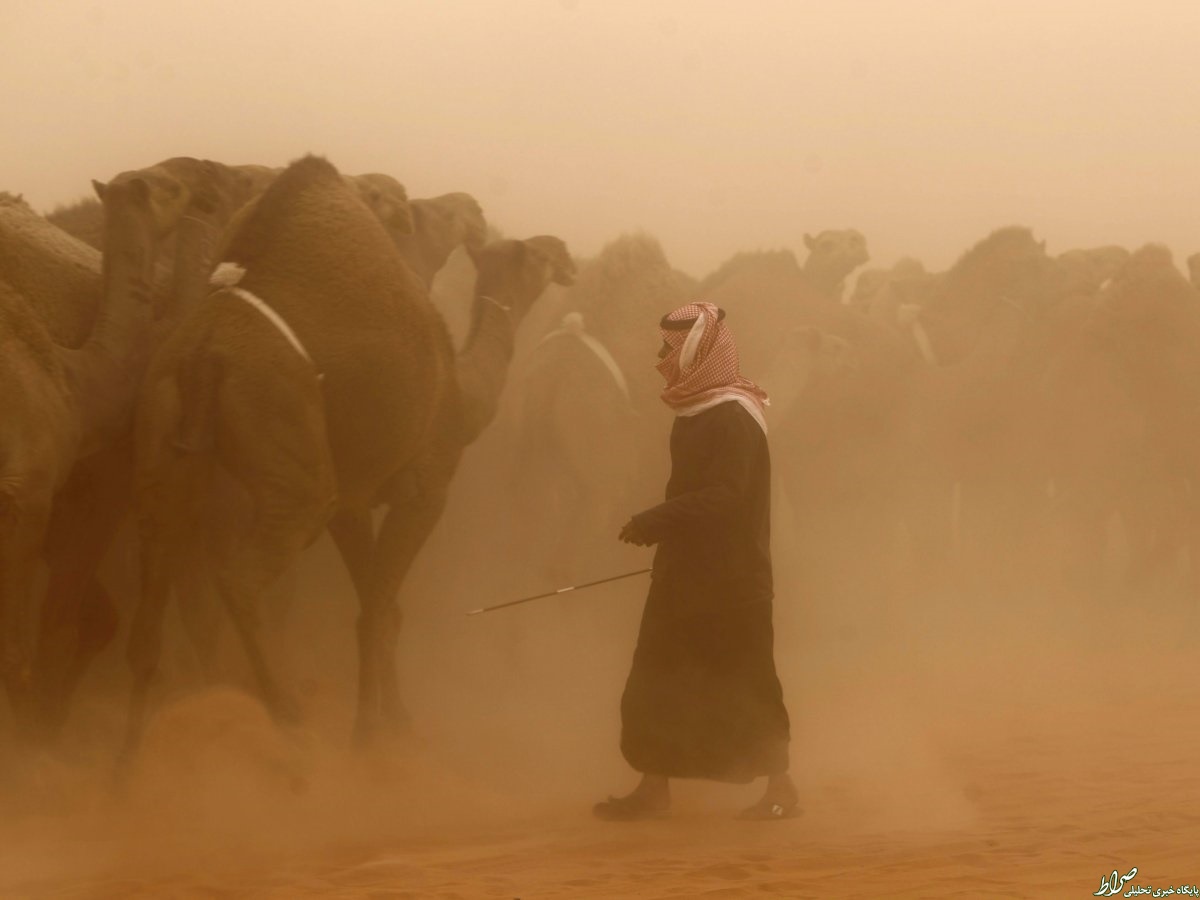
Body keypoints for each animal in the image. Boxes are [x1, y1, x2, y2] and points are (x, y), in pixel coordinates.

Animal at [124, 157, 573, 753]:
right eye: (542, 256)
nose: (568, 257)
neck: (462, 395)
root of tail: (203, 354)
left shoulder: (355, 500)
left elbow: (380, 608)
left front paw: (393, 716)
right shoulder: (424, 490)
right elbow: (379, 608)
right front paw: (370, 731)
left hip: (162, 434)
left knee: (153, 577)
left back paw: (127, 760)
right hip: (291, 456)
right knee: (240, 576)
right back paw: (287, 716)